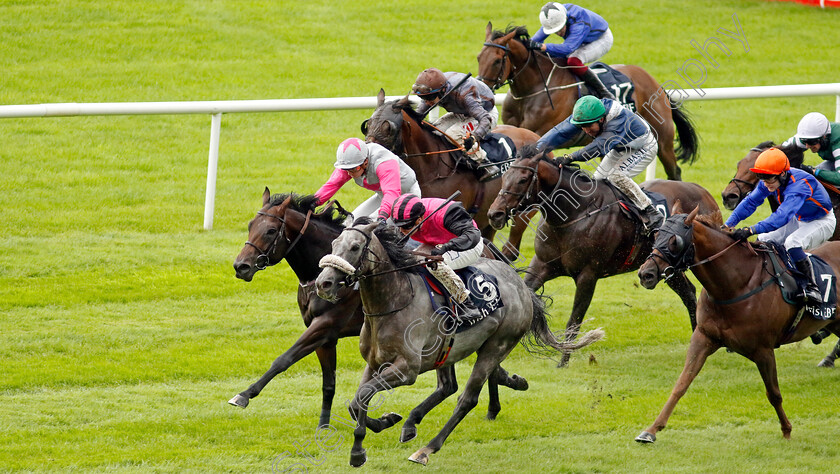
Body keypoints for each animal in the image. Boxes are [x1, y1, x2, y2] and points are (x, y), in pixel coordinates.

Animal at [230, 190, 524, 430]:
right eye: (250, 226)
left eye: (270, 231)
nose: (241, 266)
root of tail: (492, 250)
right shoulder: (326, 335)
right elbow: (328, 382)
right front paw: (325, 424)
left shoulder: (326, 325)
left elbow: (284, 359)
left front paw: (243, 395)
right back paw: (500, 395)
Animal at [366, 89, 540, 260]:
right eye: (367, 125)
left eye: (388, 128)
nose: (368, 150)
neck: (433, 169)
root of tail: (535, 136)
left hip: (522, 208)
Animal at [476, 21, 700, 181]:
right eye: (479, 57)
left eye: (497, 60)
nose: (482, 89)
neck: (533, 89)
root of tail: (655, 83)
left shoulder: (537, 130)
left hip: (662, 139)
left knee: (674, 172)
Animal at [486, 147, 720, 366]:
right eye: (504, 178)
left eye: (522, 179)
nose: (494, 214)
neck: (574, 214)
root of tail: (703, 191)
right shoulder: (541, 266)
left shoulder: (588, 276)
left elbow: (574, 321)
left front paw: (563, 362)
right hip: (665, 265)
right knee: (688, 292)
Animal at [636, 206, 840, 442]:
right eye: (656, 235)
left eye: (674, 241)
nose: (645, 274)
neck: (736, 285)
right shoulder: (704, 337)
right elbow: (681, 384)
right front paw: (651, 430)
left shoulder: (763, 350)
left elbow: (774, 393)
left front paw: (787, 430)